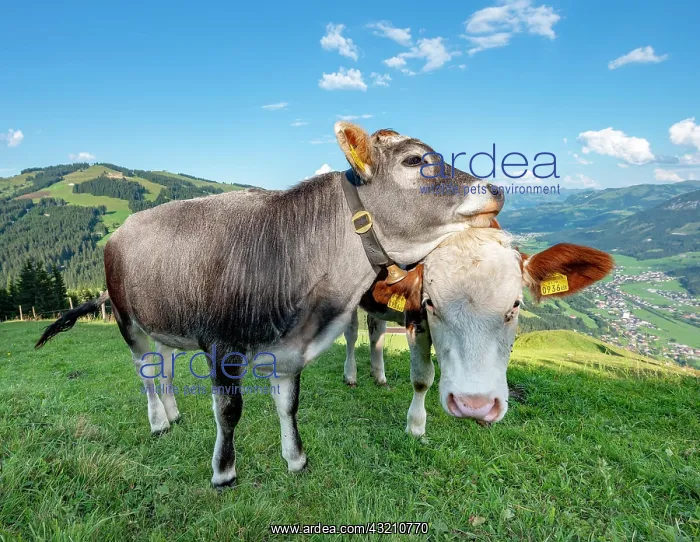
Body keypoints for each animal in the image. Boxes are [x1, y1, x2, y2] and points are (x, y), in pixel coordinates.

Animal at [35, 122, 505, 488]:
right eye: (413, 161)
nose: (497, 188)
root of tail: (122, 230)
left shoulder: (291, 348)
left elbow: (288, 403)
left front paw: (295, 459)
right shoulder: (222, 345)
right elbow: (229, 410)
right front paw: (224, 472)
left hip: (165, 321)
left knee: (164, 366)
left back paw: (173, 414)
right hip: (126, 318)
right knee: (146, 371)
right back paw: (157, 421)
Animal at [345, 226, 613, 437]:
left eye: (516, 304)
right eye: (430, 303)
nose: (473, 405)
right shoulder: (414, 317)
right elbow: (421, 378)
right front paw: (416, 427)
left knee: (376, 330)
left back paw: (379, 376)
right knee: (351, 333)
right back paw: (351, 375)